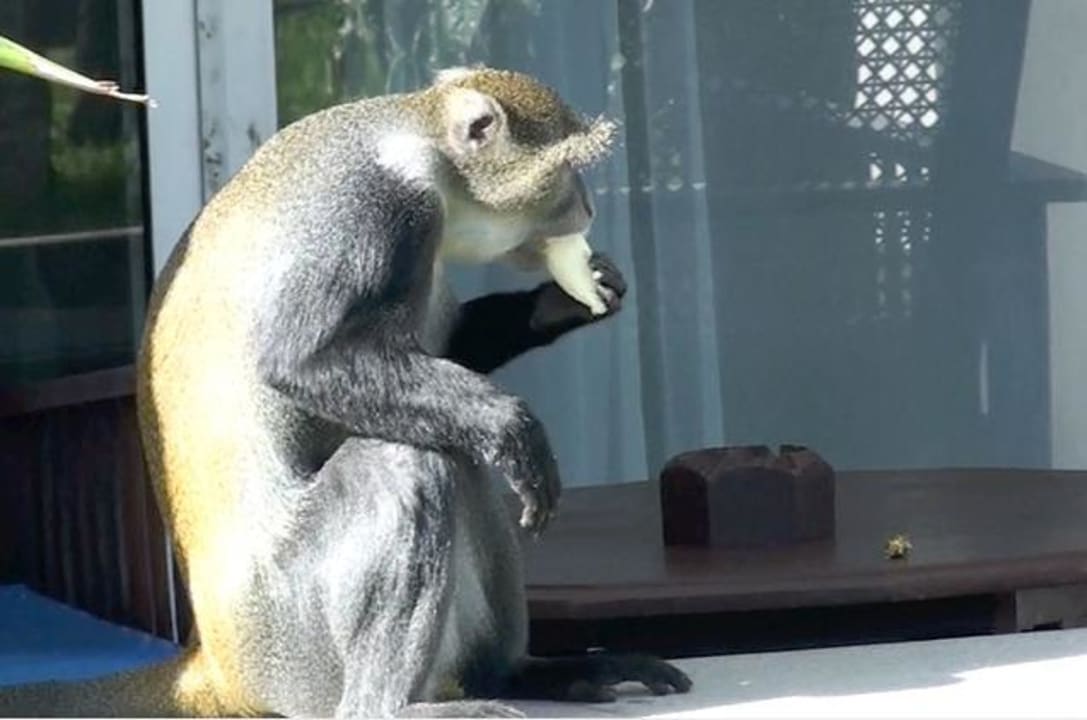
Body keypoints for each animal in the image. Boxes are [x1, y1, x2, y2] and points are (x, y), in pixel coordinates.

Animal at [0, 66, 691, 717]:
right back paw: (389, 706)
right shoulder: (374, 208)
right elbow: (302, 363)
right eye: (567, 168)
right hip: (295, 638)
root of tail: (220, 666)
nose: (588, 206)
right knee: (405, 460)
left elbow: (447, 356)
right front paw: (507, 422)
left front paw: (560, 303)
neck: (415, 141)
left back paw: (518, 673)